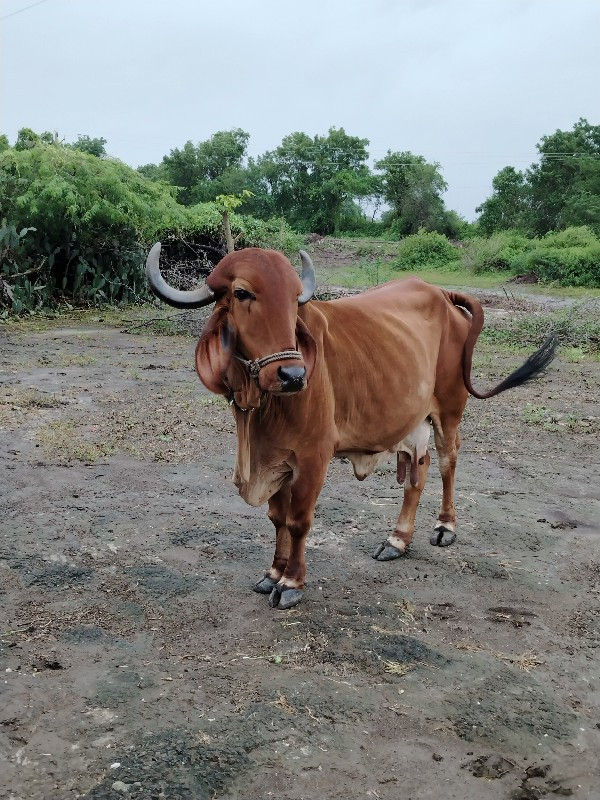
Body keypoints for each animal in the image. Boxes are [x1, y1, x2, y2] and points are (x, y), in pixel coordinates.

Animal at [146, 242, 556, 608]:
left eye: (294, 298)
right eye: (242, 292)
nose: (293, 376)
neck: (262, 406)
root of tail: (440, 293)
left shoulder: (313, 457)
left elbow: (297, 521)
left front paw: (291, 582)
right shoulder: (276, 458)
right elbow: (277, 518)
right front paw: (272, 573)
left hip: (450, 409)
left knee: (447, 462)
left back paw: (445, 527)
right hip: (414, 419)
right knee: (417, 472)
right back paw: (397, 540)